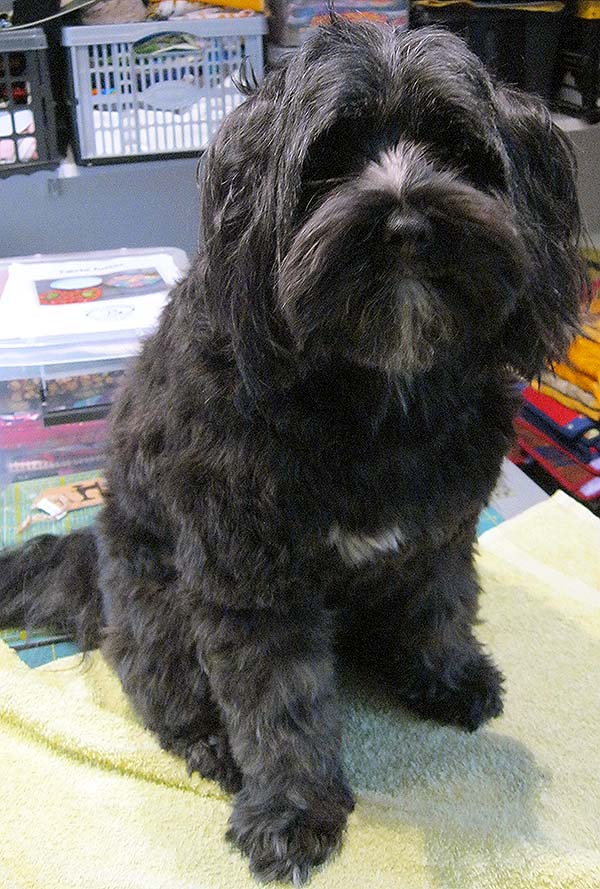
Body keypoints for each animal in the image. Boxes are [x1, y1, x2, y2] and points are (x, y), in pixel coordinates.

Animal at [0, 21, 585, 885]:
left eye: (458, 150)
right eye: (328, 162)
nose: (408, 228)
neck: (379, 392)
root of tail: (87, 556)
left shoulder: (442, 529)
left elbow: (440, 606)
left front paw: (447, 675)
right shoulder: (250, 576)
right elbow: (279, 704)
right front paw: (292, 809)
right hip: (156, 606)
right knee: (163, 686)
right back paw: (209, 742)